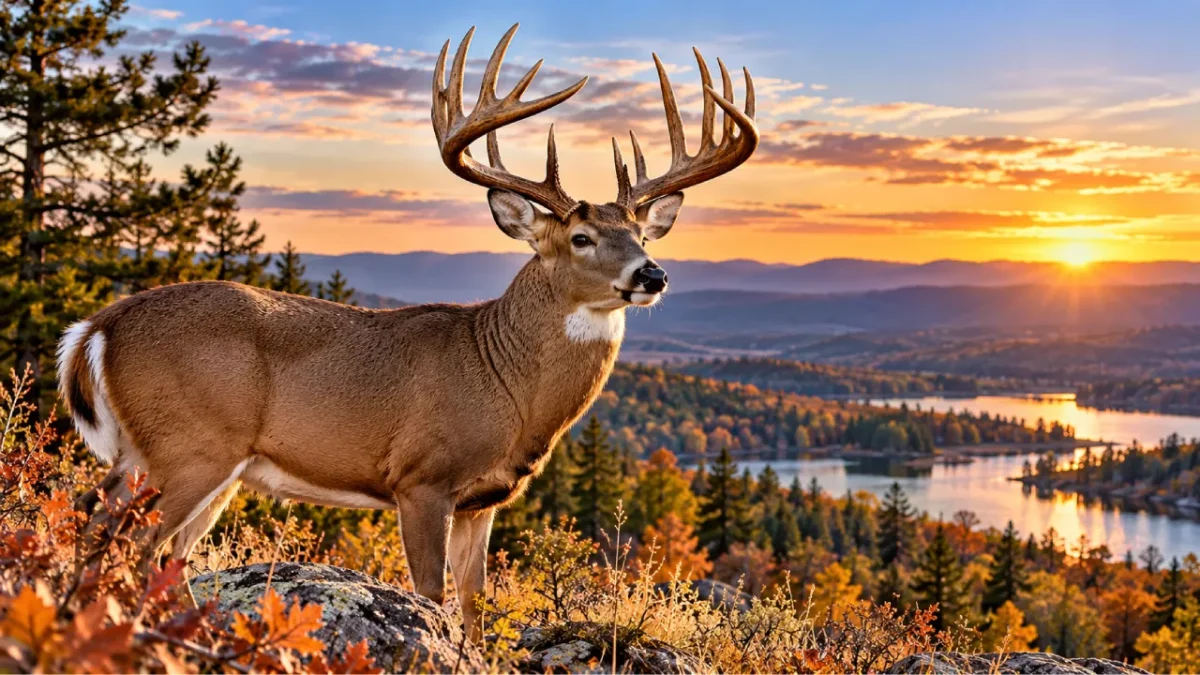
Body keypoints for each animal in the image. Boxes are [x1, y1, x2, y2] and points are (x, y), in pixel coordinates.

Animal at [56, 23, 758, 641]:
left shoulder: (484, 499)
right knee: (139, 547)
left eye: (641, 235)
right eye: (582, 237)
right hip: (192, 444)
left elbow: (475, 604)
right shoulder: (422, 478)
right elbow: (430, 594)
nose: (652, 274)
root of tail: (100, 324)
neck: (506, 383)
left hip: (157, 455)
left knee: (108, 532)